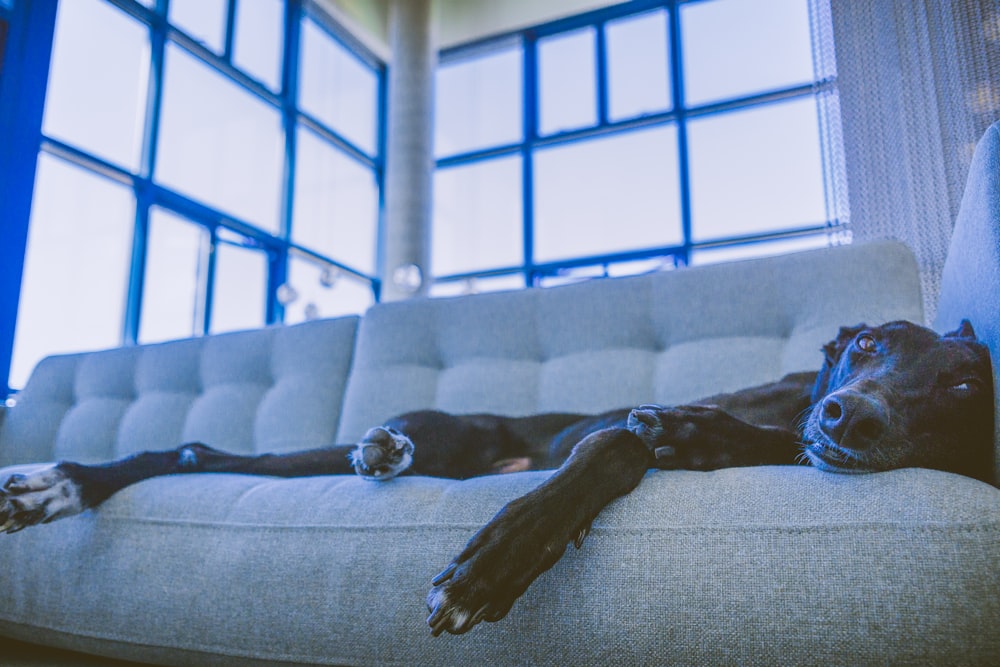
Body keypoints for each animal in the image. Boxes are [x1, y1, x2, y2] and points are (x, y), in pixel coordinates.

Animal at [1, 320, 992, 640]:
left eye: (964, 388)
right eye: (868, 346)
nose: (850, 418)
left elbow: (705, 437)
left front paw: (700, 435)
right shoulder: (603, 430)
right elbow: (616, 443)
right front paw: (497, 559)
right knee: (195, 453)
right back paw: (53, 482)